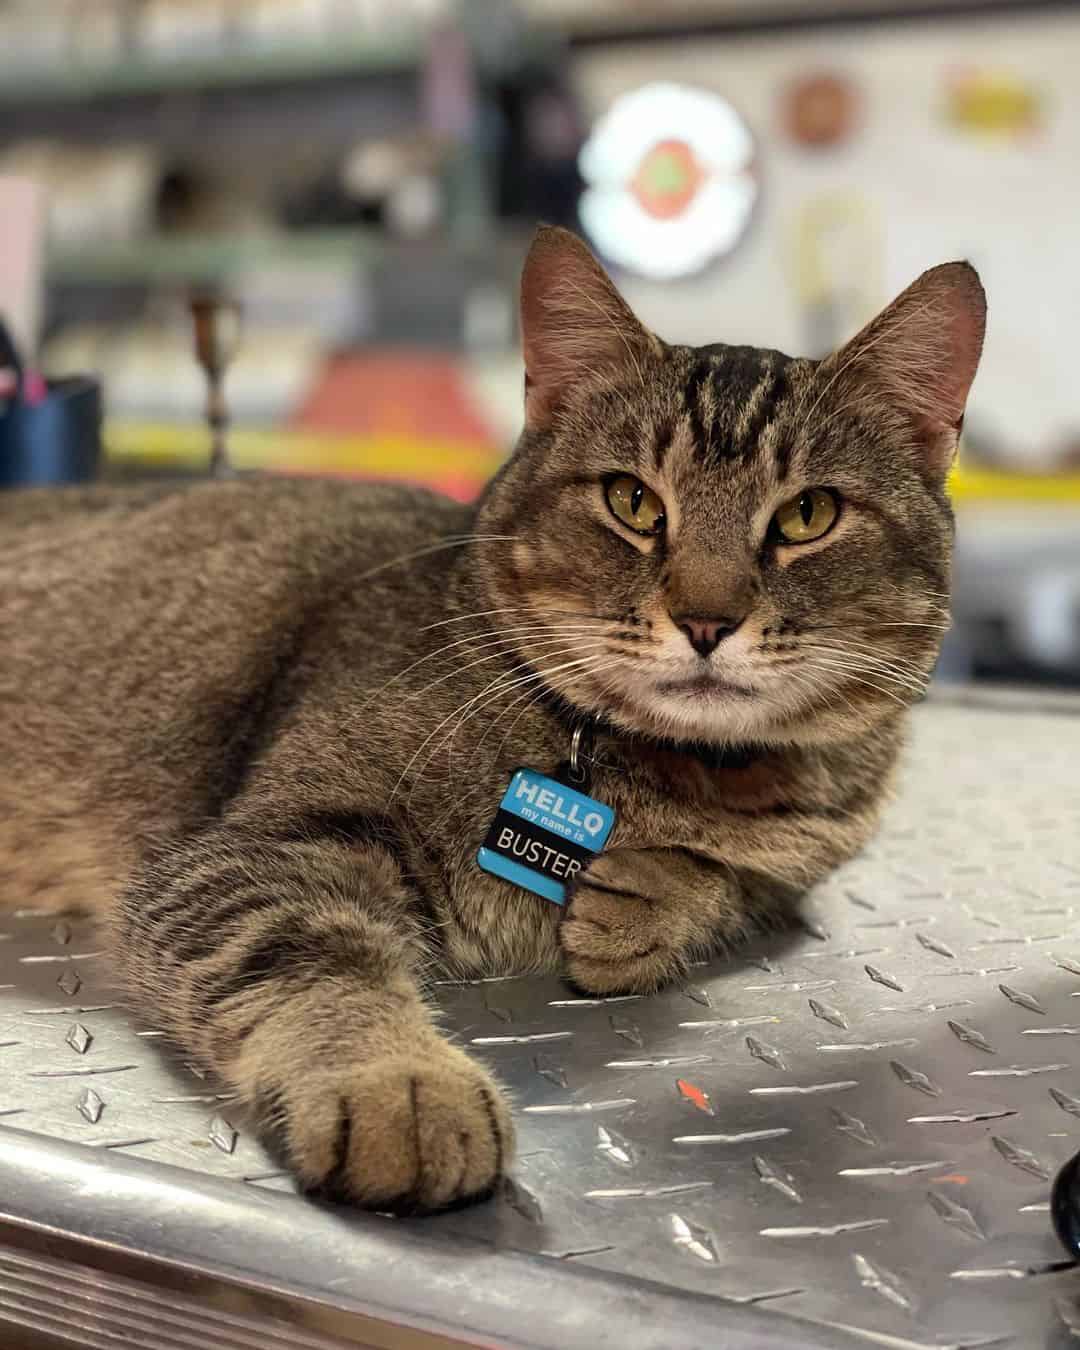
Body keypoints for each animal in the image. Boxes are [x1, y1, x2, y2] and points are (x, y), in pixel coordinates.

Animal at [0, 224, 982, 1215]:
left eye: (808, 514)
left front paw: (650, 896)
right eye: (632, 501)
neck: (672, 778)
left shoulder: (802, 857)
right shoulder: (244, 853)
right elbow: (312, 958)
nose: (707, 621)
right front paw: (400, 1083)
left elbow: (735, 882)